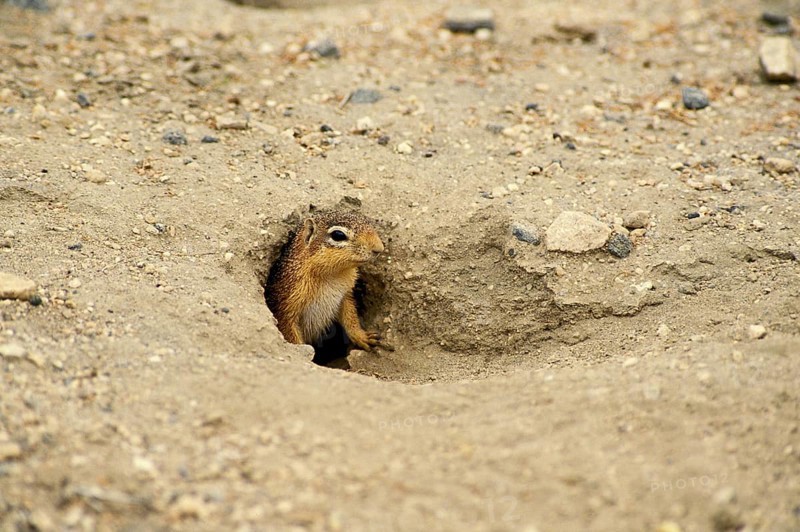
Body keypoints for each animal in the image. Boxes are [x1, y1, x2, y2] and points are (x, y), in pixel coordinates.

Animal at [265, 209, 384, 353]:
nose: (379, 248)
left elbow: (350, 316)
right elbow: (291, 335)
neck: (333, 276)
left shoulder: (345, 294)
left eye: (368, 222)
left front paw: (362, 336)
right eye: (338, 235)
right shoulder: (285, 309)